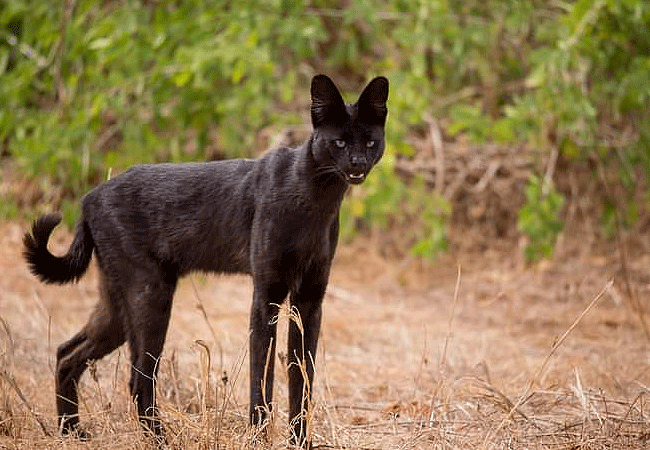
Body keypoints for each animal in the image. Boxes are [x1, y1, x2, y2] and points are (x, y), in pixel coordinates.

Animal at [24, 74, 390, 446]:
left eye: (370, 141)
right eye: (340, 142)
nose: (357, 162)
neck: (316, 198)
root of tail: (89, 198)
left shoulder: (310, 300)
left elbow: (302, 380)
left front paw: (300, 441)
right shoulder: (267, 296)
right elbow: (262, 376)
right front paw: (258, 438)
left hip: (117, 304)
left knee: (67, 353)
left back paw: (72, 431)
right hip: (149, 295)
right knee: (138, 377)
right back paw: (159, 440)